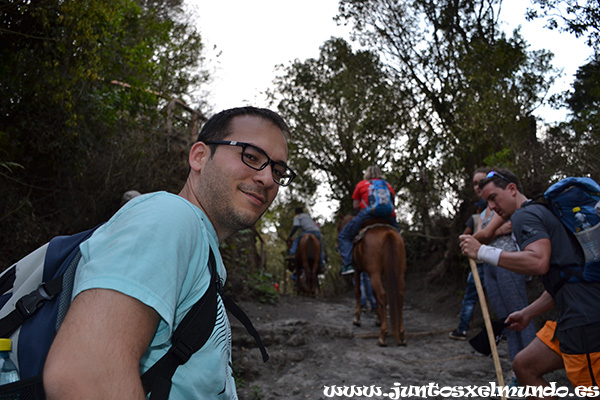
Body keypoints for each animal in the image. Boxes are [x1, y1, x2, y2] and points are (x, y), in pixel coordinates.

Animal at [338, 216, 408, 346]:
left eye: (339, 226)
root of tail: (388, 233)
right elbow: (373, 294)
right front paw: (378, 318)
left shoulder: (357, 270)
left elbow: (358, 291)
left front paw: (357, 319)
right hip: (399, 271)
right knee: (399, 296)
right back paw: (401, 335)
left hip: (374, 272)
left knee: (382, 294)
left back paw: (383, 335)